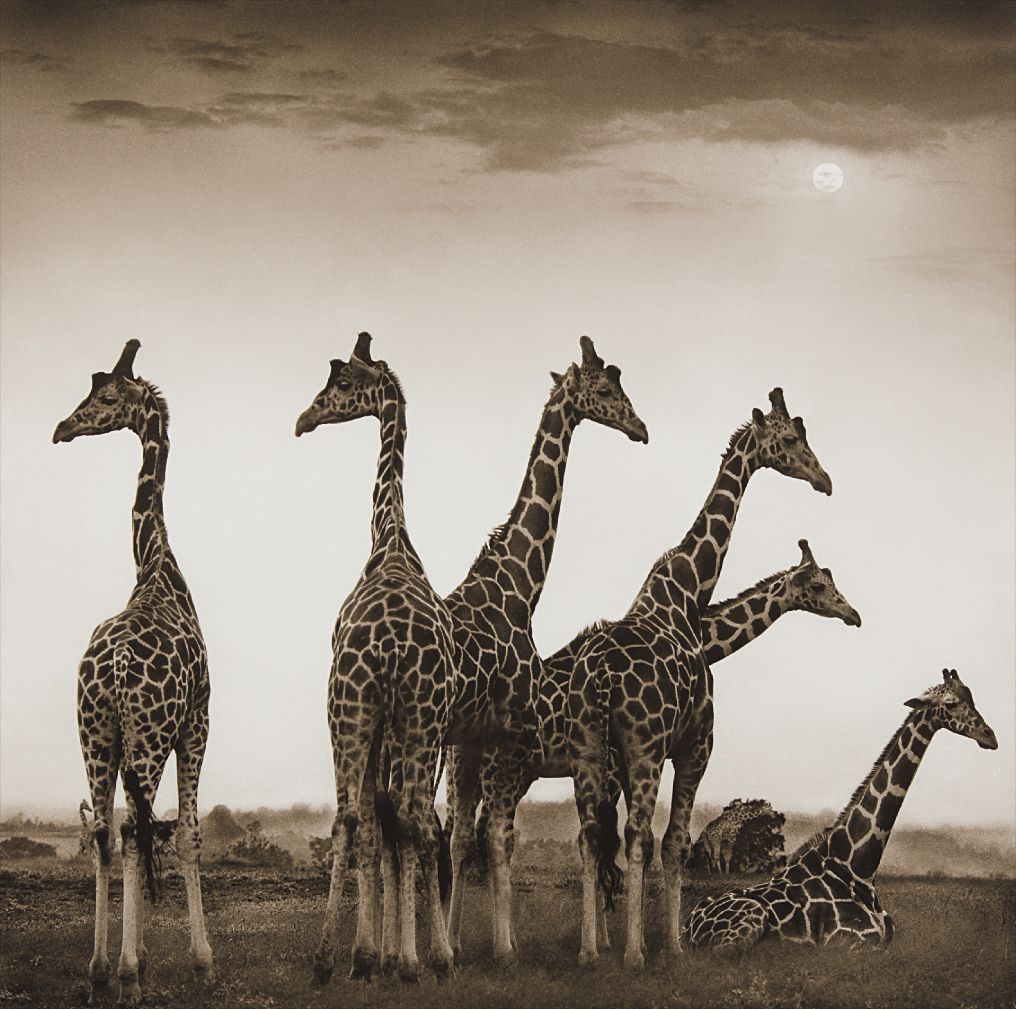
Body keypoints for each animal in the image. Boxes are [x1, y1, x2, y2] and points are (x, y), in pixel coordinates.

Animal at [443, 335, 649, 964]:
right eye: (606, 387)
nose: (640, 428)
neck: (517, 584)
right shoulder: (512, 737)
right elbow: (507, 837)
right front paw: (508, 948)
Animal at [468, 536, 859, 944]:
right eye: (819, 585)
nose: (853, 614)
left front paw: (616, 939)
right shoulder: (617, 767)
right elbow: (618, 842)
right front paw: (613, 940)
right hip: (503, 769)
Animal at [568, 388, 833, 969]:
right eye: (790, 439)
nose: (825, 479)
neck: (686, 595)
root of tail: (600, 678)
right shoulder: (695, 744)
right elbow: (674, 842)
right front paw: (670, 946)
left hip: (588, 748)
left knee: (590, 834)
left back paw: (590, 952)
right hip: (641, 749)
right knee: (634, 834)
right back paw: (632, 954)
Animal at [686, 669, 997, 950]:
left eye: (972, 697)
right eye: (951, 703)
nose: (990, 737)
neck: (858, 869)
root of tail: (687, 929)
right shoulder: (849, 943)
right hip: (746, 925)